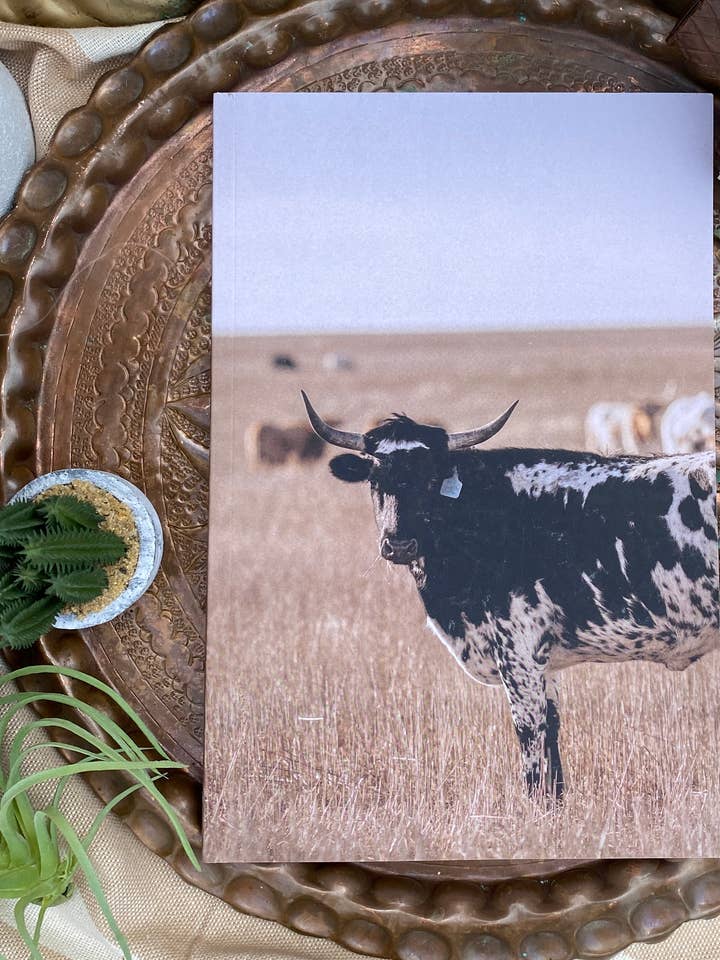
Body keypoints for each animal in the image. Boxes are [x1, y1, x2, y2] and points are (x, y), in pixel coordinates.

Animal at [301, 390, 719, 801]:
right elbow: (552, 733)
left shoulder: (518, 649)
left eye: (432, 477)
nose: (399, 544)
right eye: (376, 478)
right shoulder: (543, 661)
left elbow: (530, 737)